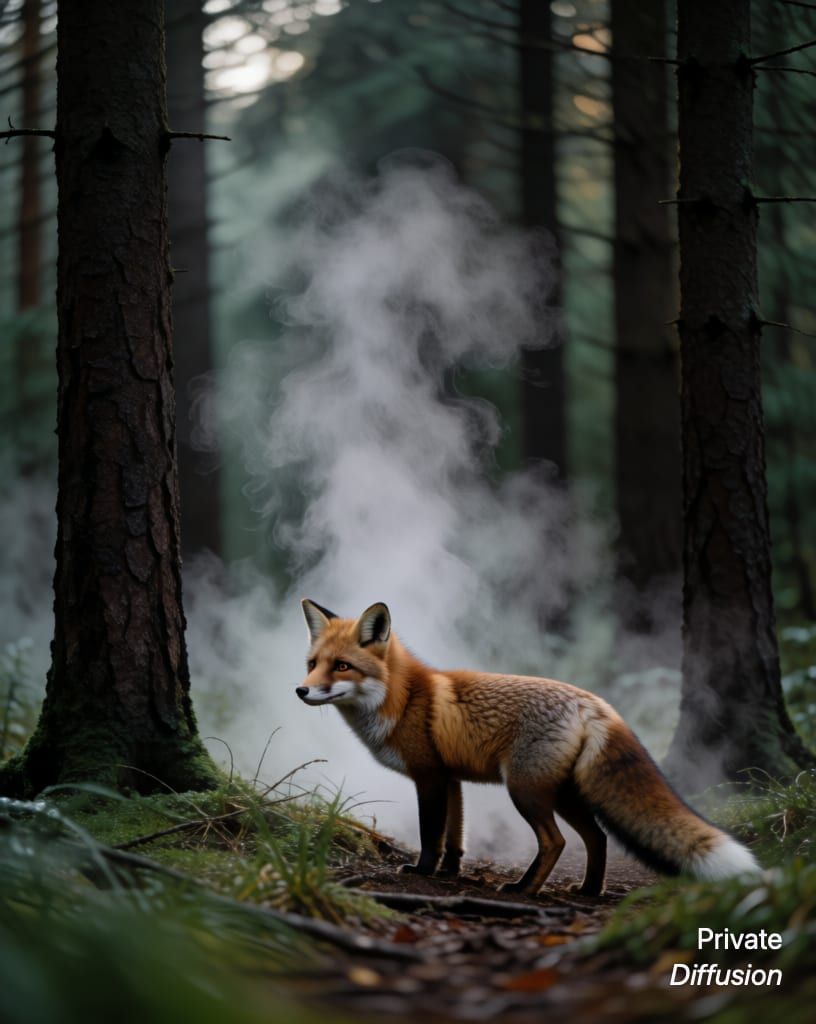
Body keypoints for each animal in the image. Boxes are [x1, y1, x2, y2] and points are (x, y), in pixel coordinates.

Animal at [296, 599, 759, 895]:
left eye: (342, 666)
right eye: (312, 664)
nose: (300, 690)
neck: (403, 697)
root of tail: (596, 702)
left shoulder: (429, 777)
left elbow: (431, 834)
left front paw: (424, 871)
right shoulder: (452, 778)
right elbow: (456, 836)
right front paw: (450, 872)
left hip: (525, 790)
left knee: (556, 842)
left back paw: (525, 889)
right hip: (565, 794)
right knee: (597, 838)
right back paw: (588, 891)